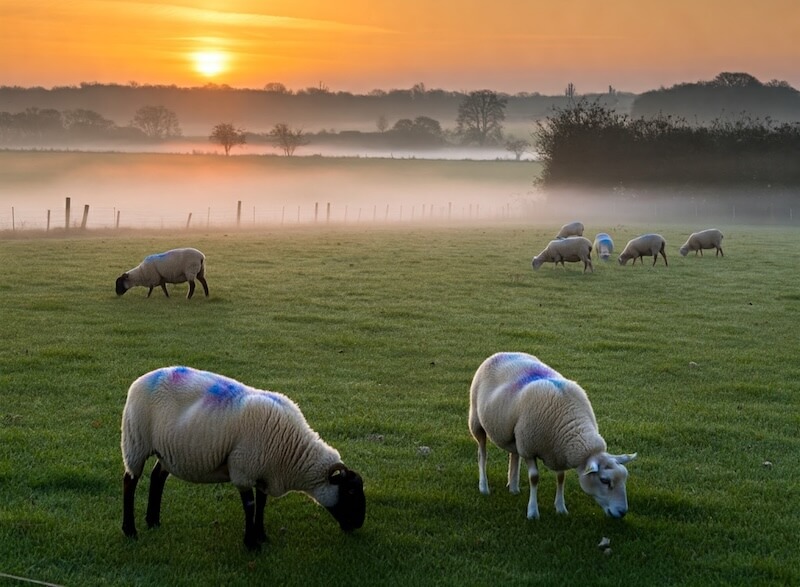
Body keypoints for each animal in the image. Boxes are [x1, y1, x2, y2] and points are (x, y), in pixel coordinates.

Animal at [121, 368, 366, 552]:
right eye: (350, 491)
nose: (359, 524)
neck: (292, 451)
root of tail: (140, 379)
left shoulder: (263, 472)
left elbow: (262, 503)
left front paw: (261, 534)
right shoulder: (243, 470)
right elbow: (250, 505)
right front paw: (251, 544)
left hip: (165, 451)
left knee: (157, 477)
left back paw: (153, 521)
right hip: (135, 441)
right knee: (130, 481)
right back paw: (130, 530)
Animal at [468, 352, 636, 520]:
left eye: (625, 477)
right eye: (604, 480)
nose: (622, 512)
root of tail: (502, 353)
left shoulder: (557, 452)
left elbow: (561, 478)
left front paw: (561, 508)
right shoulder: (528, 449)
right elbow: (534, 478)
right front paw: (533, 512)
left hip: (515, 436)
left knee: (513, 455)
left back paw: (513, 488)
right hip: (477, 421)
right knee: (482, 454)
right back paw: (484, 487)